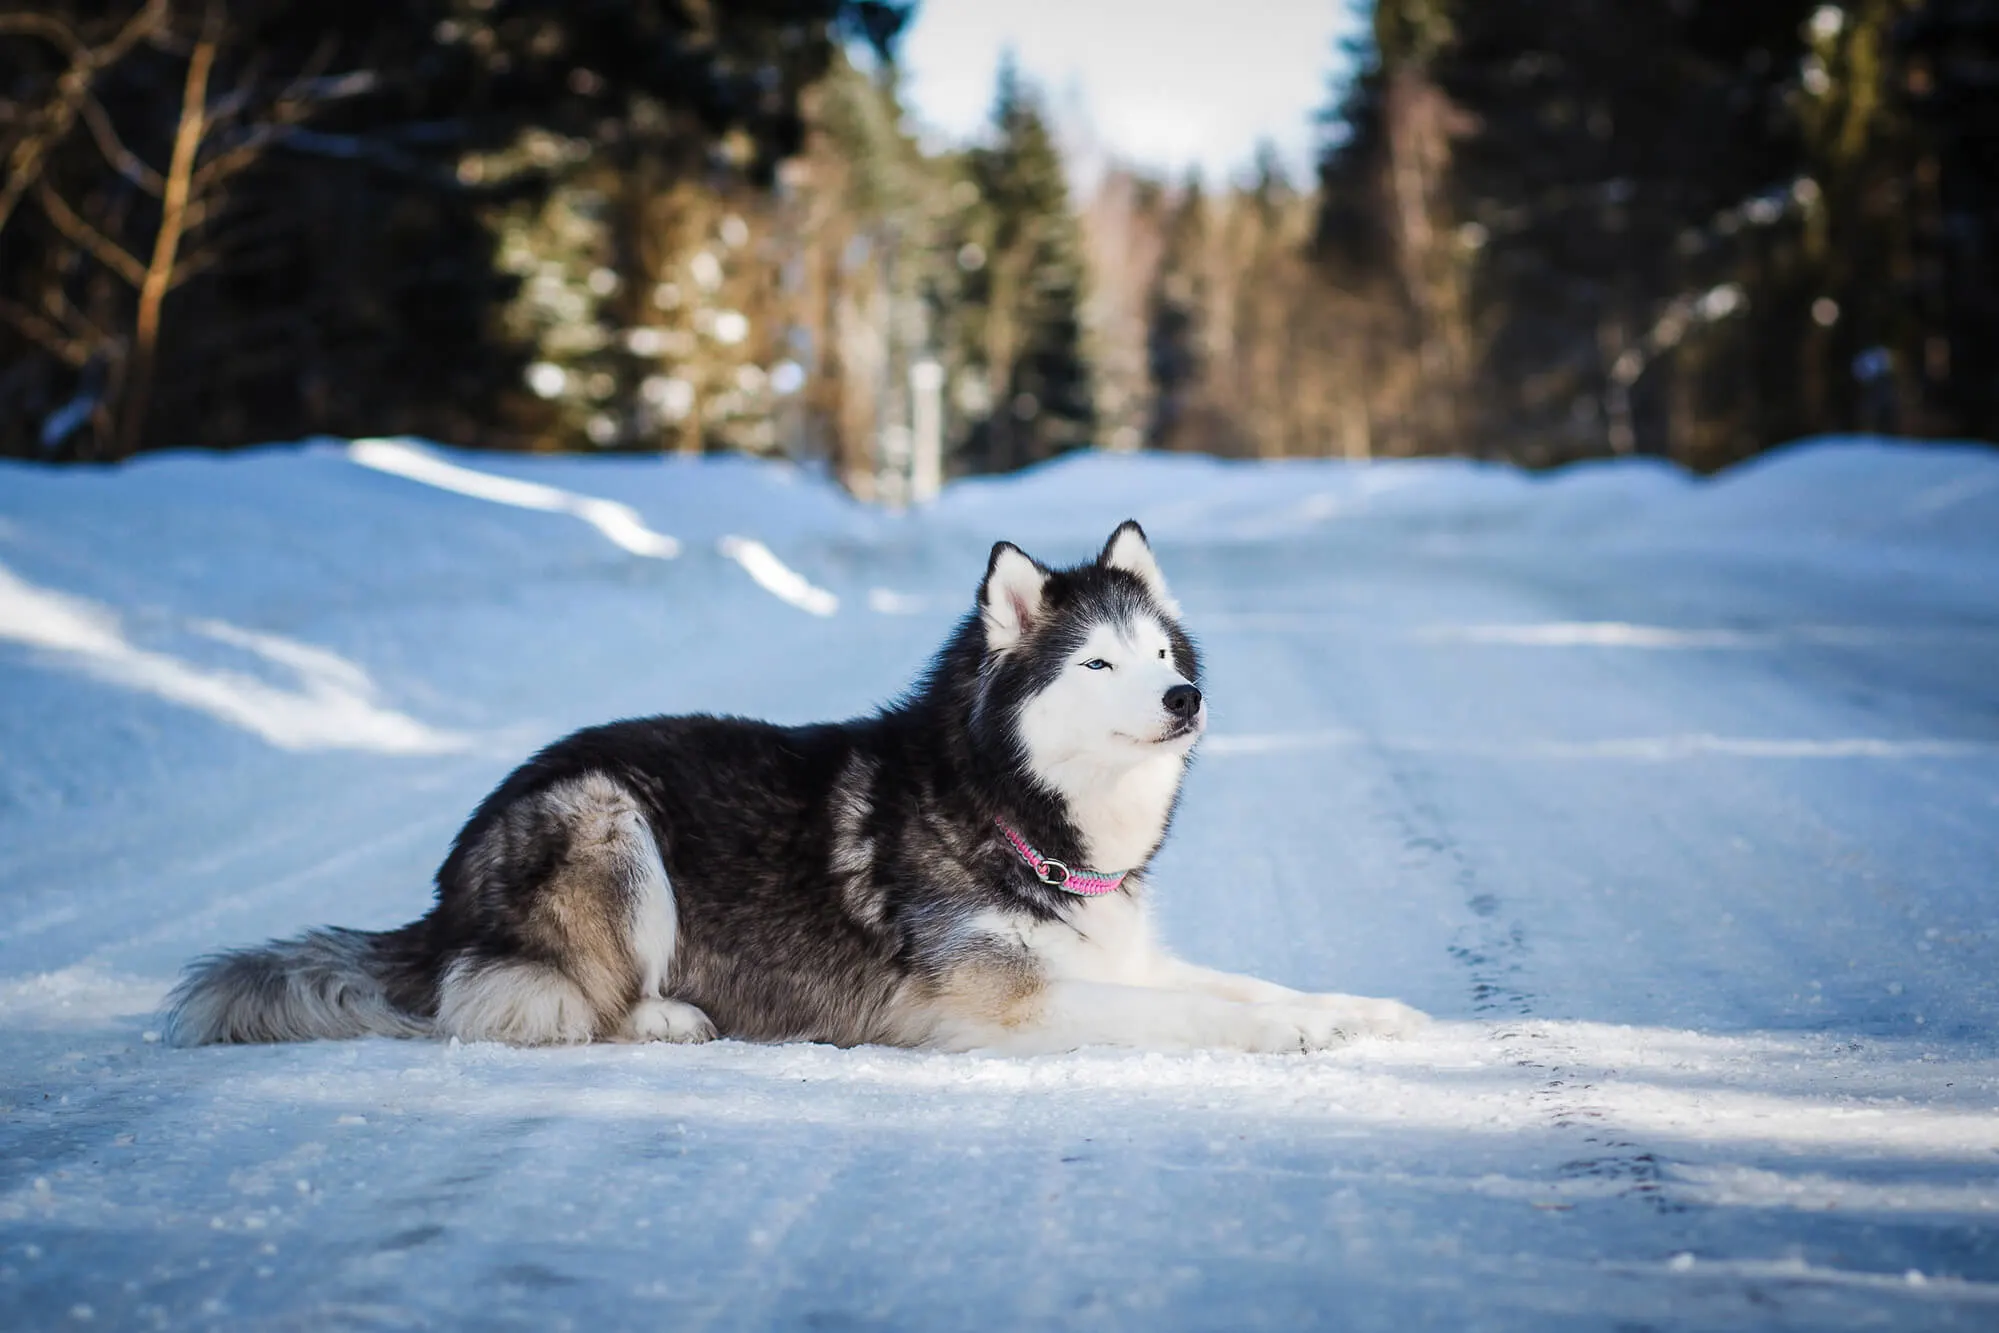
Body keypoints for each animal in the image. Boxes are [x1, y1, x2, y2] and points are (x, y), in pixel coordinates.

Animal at [167, 519, 1423, 1055]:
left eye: (1161, 653)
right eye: (1099, 665)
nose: (1185, 699)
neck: (1009, 813)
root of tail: (439, 901)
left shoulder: (1117, 956)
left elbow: (1244, 982)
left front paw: (1365, 1011)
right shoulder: (999, 1001)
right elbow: (1203, 1010)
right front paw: (1300, 1030)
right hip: (607, 817)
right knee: (543, 1004)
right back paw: (673, 1016)